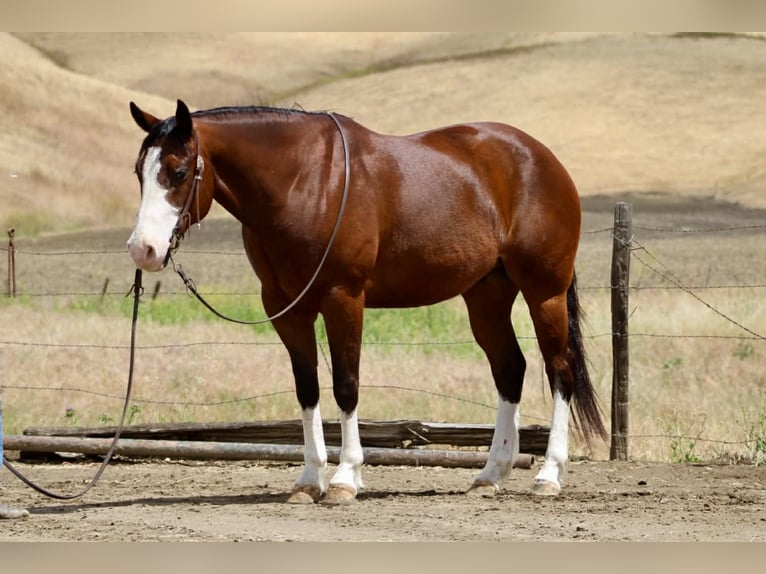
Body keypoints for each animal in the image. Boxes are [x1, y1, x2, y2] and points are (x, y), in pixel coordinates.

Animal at [127, 99, 606, 505]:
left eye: (179, 171)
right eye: (139, 172)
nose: (143, 250)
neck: (304, 181)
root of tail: (540, 157)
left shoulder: (344, 298)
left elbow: (346, 384)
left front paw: (344, 480)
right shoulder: (286, 309)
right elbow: (307, 389)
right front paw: (308, 481)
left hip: (545, 291)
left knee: (560, 371)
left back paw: (548, 475)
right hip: (487, 295)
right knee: (510, 369)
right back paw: (490, 475)